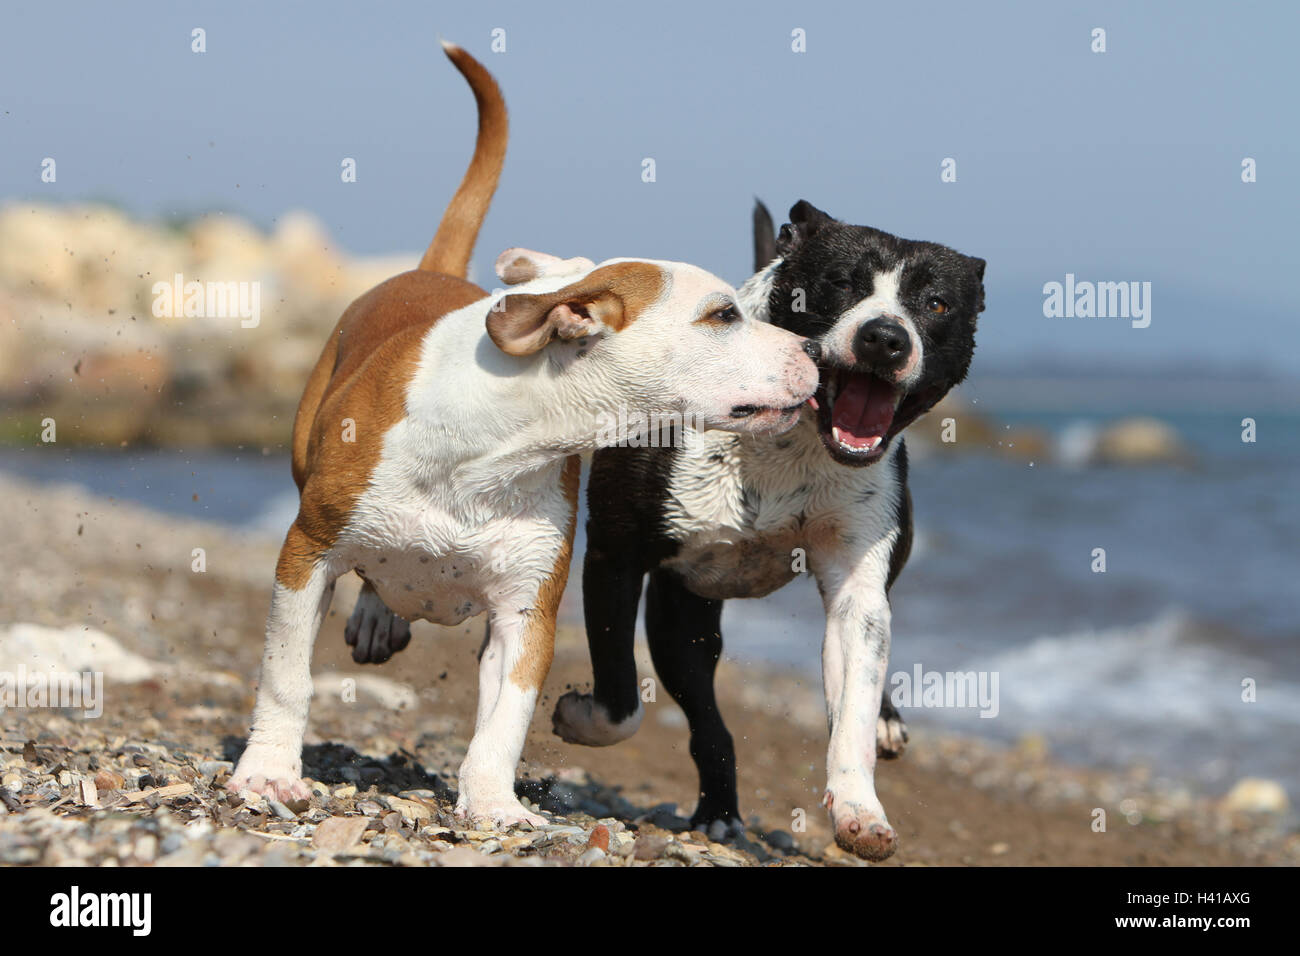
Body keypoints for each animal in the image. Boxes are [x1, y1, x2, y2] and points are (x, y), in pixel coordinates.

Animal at [222, 41, 811, 827]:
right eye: (722, 315)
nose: (814, 352)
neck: (499, 442)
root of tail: (430, 272)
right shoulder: (306, 553)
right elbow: (286, 674)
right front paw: (268, 772)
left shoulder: (527, 609)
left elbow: (507, 715)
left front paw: (495, 805)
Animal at [548, 201, 982, 858]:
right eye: (841, 282)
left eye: (935, 304)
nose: (885, 337)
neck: (789, 444)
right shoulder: (614, 556)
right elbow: (620, 698)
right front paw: (579, 718)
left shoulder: (857, 584)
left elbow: (853, 705)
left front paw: (860, 808)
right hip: (683, 621)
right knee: (706, 720)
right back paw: (718, 814)